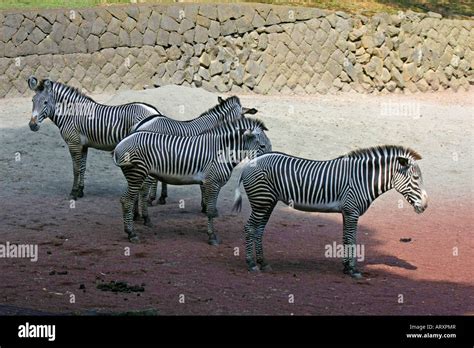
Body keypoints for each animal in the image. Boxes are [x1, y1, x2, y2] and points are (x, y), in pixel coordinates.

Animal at [27, 77, 161, 200]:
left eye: (45, 102)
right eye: (32, 101)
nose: (32, 125)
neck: (71, 115)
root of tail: (154, 111)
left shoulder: (74, 144)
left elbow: (75, 169)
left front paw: (73, 193)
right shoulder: (83, 145)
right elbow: (82, 168)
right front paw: (80, 191)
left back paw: (150, 198)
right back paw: (157, 198)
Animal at [113, 117, 272, 245]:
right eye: (263, 146)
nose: (269, 164)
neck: (222, 152)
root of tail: (120, 144)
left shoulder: (210, 183)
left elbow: (210, 208)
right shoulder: (212, 182)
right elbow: (209, 210)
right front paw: (212, 237)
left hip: (137, 176)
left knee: (129, 198)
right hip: (137, 174)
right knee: (127, 200)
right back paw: (131, 233)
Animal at [233, 145, 430, 278]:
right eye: (416, 177)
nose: (425, 205)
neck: (363, 179)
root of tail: (250, 162)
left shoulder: (346, 212)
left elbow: (345, 238)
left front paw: (345, 267)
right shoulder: (352, 211)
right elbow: (352, 239)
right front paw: (353, 270)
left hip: (268, 202)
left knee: (259, 229)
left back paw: (263, 263)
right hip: (262, 201)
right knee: (250, 228)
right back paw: (251, 264)